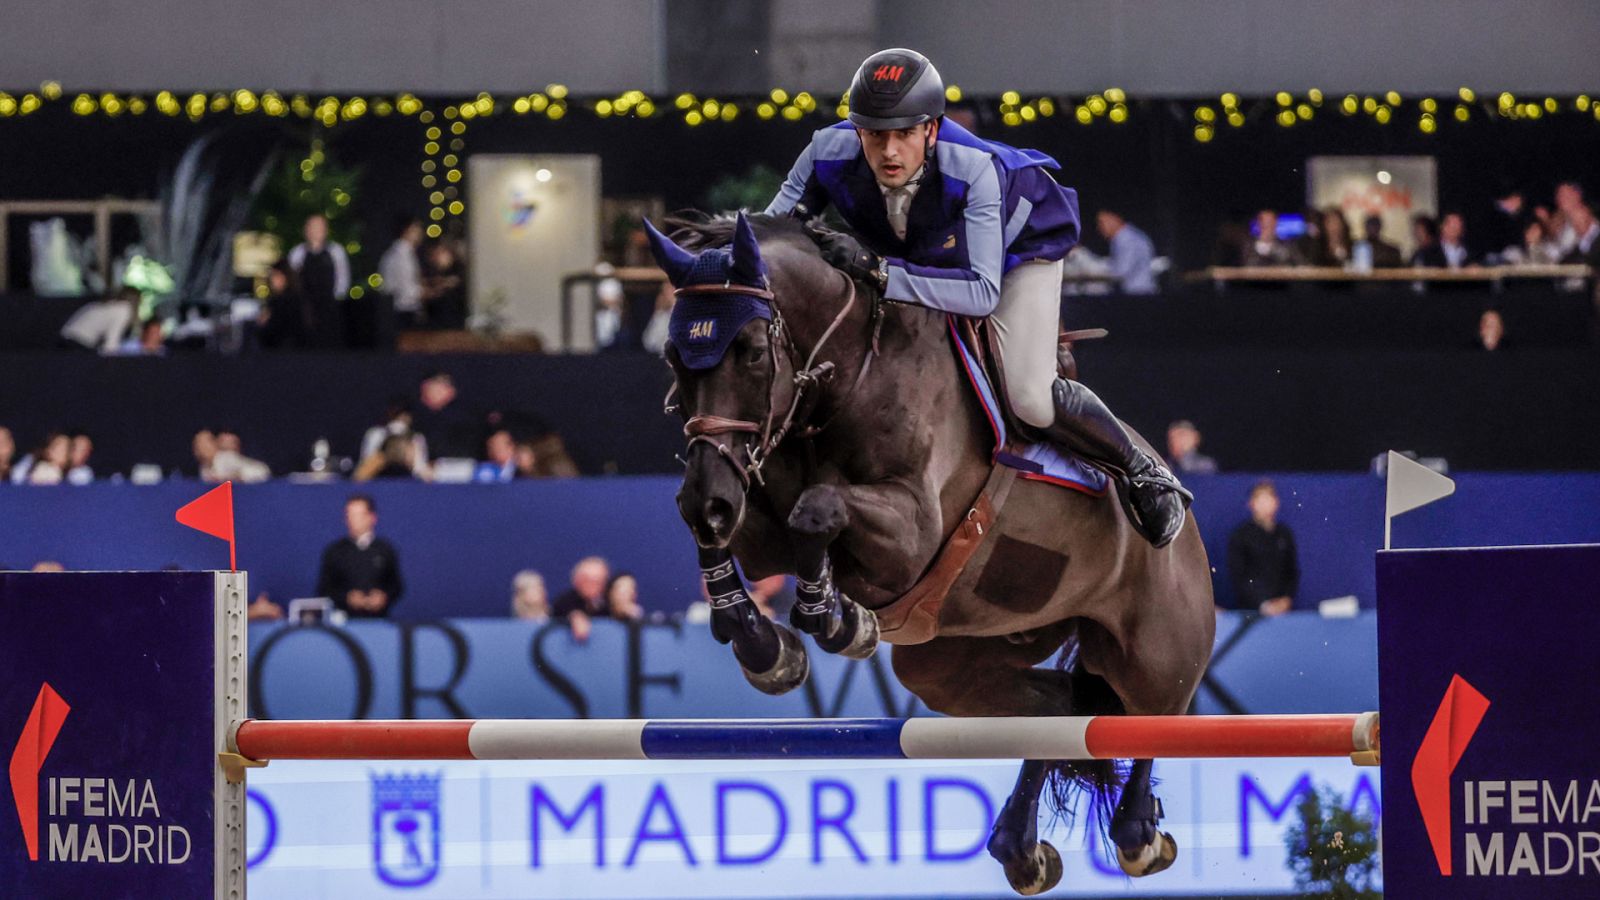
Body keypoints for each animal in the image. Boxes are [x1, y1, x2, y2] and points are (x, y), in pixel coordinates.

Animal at [649, 209, 1209, 890]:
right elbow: (722, 538)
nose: (711, 497)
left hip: (1153, 651)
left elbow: (819, 509)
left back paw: (1137, 837)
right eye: (673, 355)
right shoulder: (755, 523)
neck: (848, 377)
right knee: (1060, 710)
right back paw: (1020, 847)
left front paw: (836, 620)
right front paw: (768, 646)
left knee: (1153, 709)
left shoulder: (912, 533)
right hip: (957, 662)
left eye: (753, 352)